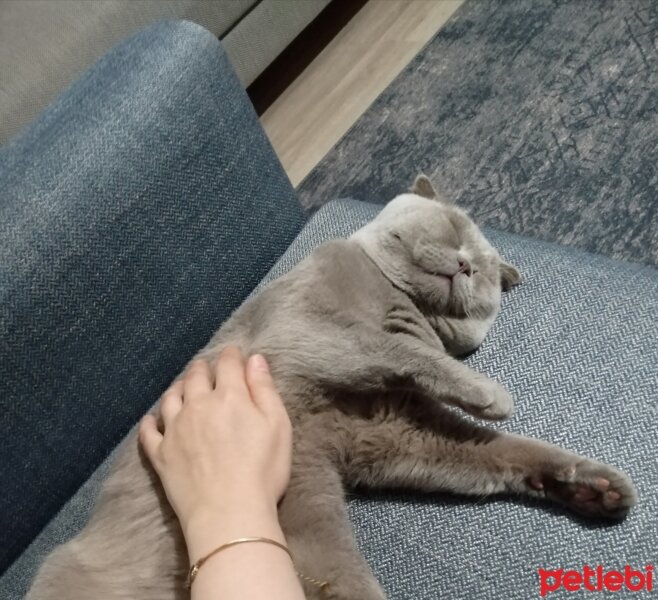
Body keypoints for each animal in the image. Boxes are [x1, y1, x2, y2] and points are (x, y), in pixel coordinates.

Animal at [26, 176, 636, 596]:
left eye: (484, 272)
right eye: (454, 230)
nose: (467, 265)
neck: (403, 304)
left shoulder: (397, 428)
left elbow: (502, 451)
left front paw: (592, 486)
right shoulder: (303, 330)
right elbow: (394, 349)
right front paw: (491, 393)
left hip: (307, 519)